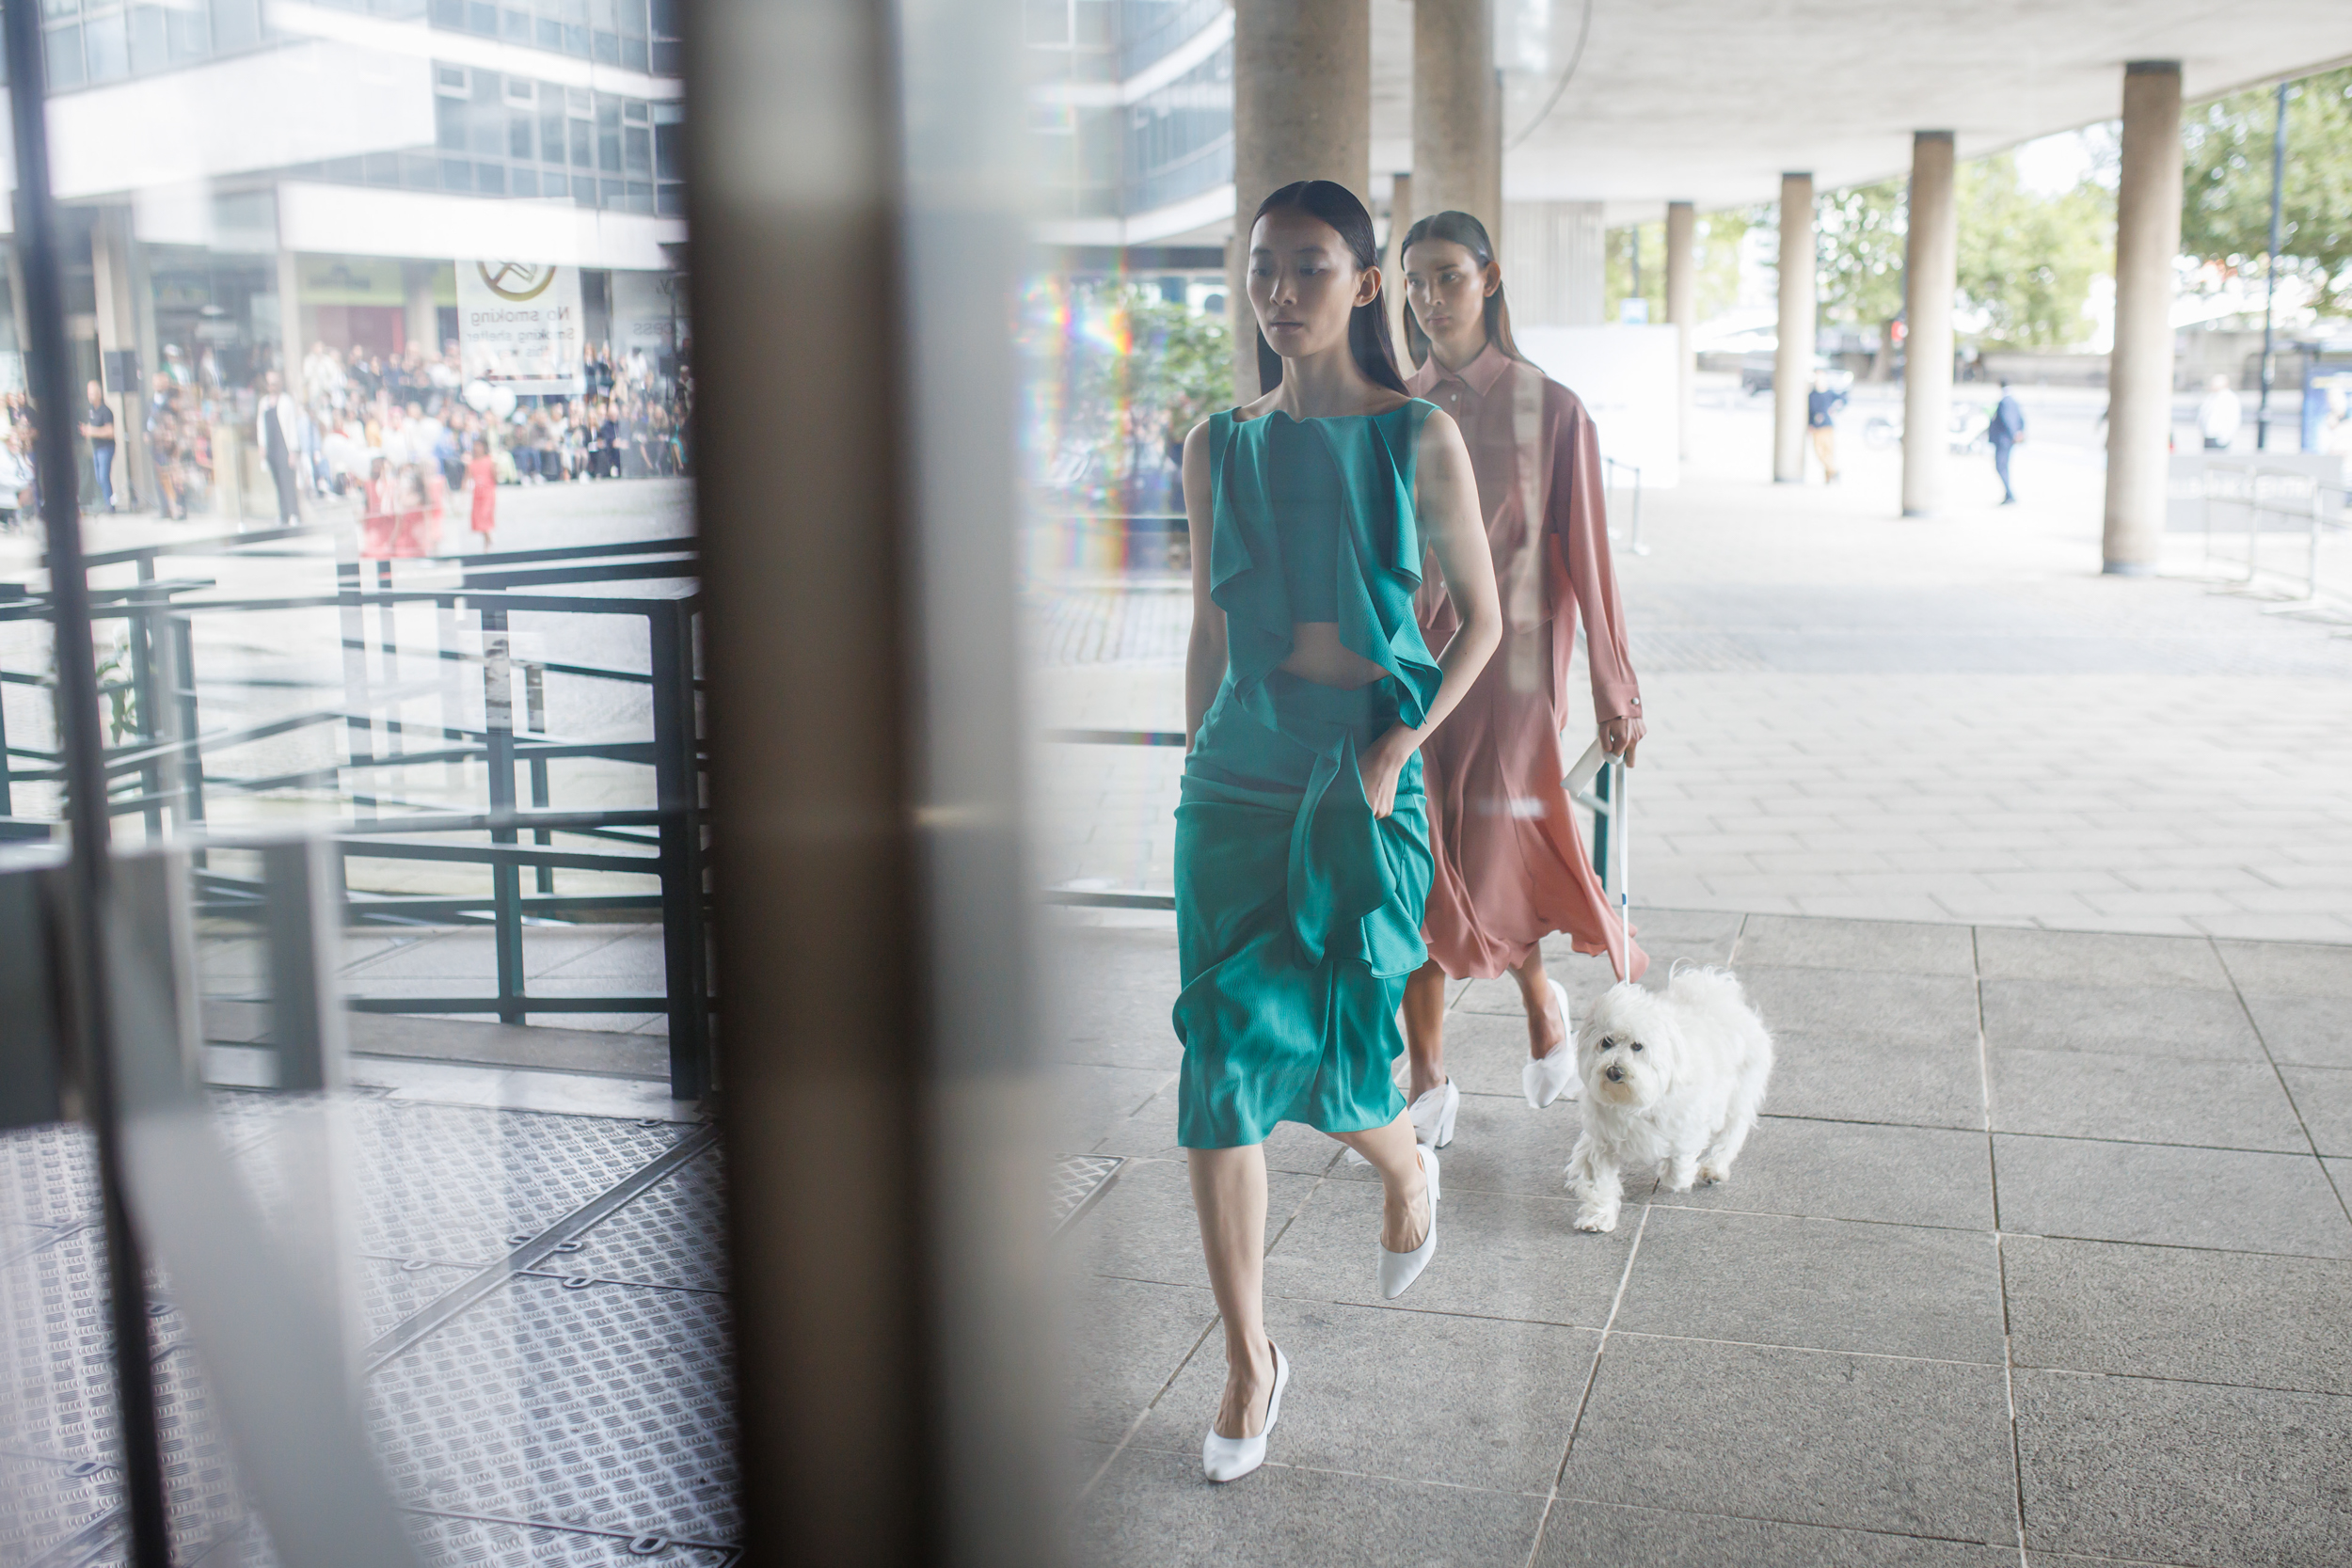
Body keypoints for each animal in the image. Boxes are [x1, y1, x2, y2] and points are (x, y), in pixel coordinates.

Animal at [1571, 968, 1769, 1241]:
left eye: (1638, 1046)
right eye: (1606, 1041)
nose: (1614, 1071)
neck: (1635, 1100)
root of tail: (1718, 990)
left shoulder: (1687, 1125)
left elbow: (1678, 1162)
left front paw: (1677, 1177)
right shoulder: (1603, 1141)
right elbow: (1599, 1181)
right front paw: (1597, 1217)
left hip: (1738, 1095)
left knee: (1731, 1134)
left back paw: (1714, 1168)